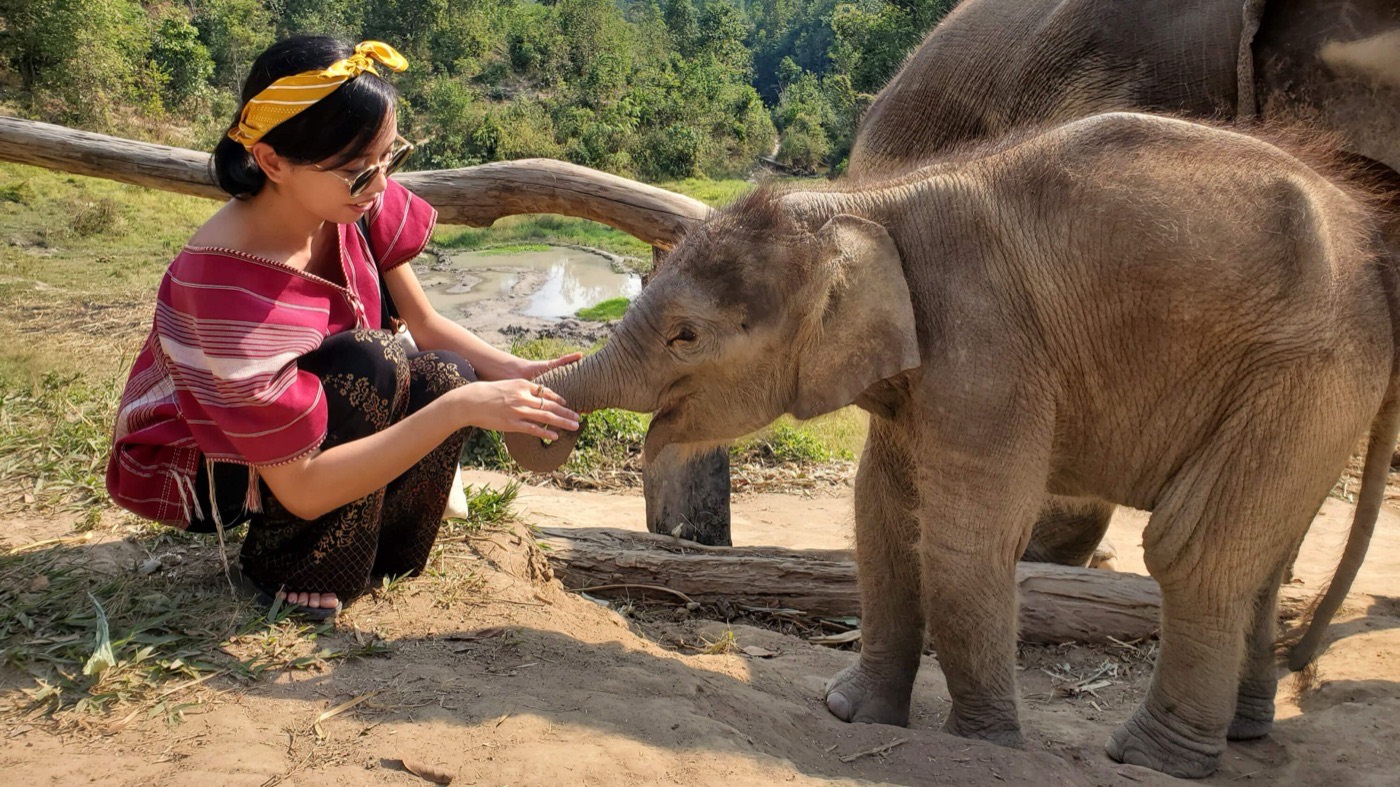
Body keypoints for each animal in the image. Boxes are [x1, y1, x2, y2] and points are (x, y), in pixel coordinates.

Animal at [503, 112, 1400, 778]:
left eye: (685, 336)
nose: (542, 436)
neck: (861, 206)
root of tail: (1373, 253)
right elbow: (881, 519)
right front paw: (850, 713)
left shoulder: (985, 349)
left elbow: (965, 541)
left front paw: (980, 747)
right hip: (1310, 388)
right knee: (1262, 550)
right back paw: (1240, 734)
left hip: (1304, 368)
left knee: (1194, 546)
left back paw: (1150, 757)